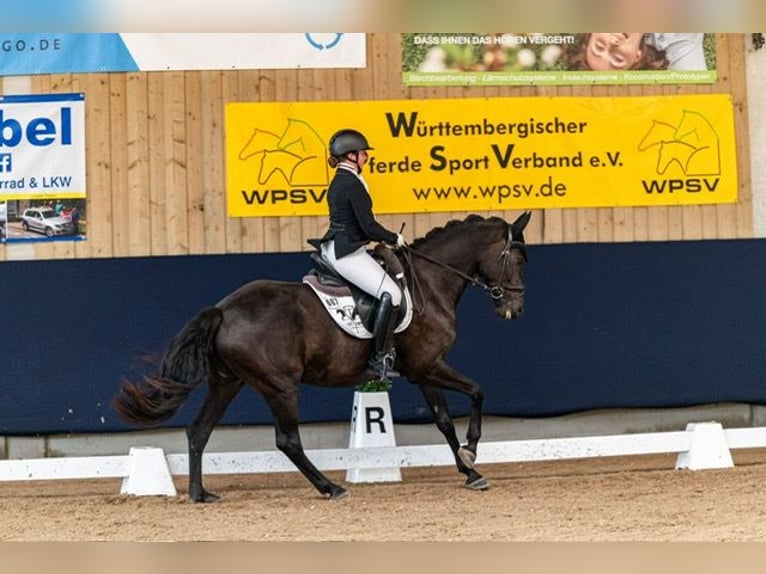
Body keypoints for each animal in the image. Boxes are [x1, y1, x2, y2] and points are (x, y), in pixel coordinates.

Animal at [113, 211, 531, 502]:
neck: (428, 283)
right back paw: (330, 488)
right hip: (280, 386)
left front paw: (469, 470)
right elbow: (476, 392)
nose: (514, 308)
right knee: (287, 441)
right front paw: (472, 451)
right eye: (517, 260)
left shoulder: (424, 370)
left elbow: (444, 420)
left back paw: (200, 494)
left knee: (199, 430)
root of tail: (224, 310)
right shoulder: (428, 366)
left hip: (227, 382)